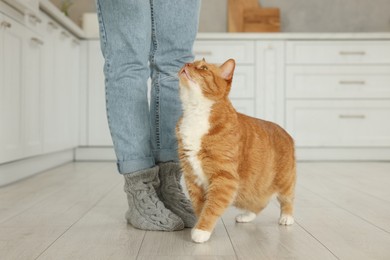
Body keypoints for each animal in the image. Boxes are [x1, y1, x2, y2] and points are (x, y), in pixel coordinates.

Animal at [177, 59, 296, 244]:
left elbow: (211, 207)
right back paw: (247, 216)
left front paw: (202, 230)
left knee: (287, 198)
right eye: (191, 62)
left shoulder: (225, 179)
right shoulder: (192, 177)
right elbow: (199, 207)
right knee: (259, 203)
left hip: (284, 180)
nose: (186, 64)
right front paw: (199, 225)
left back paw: (287, 217)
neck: (196, 113)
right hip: (255, 186)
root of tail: (284, 131)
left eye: (203, 68)